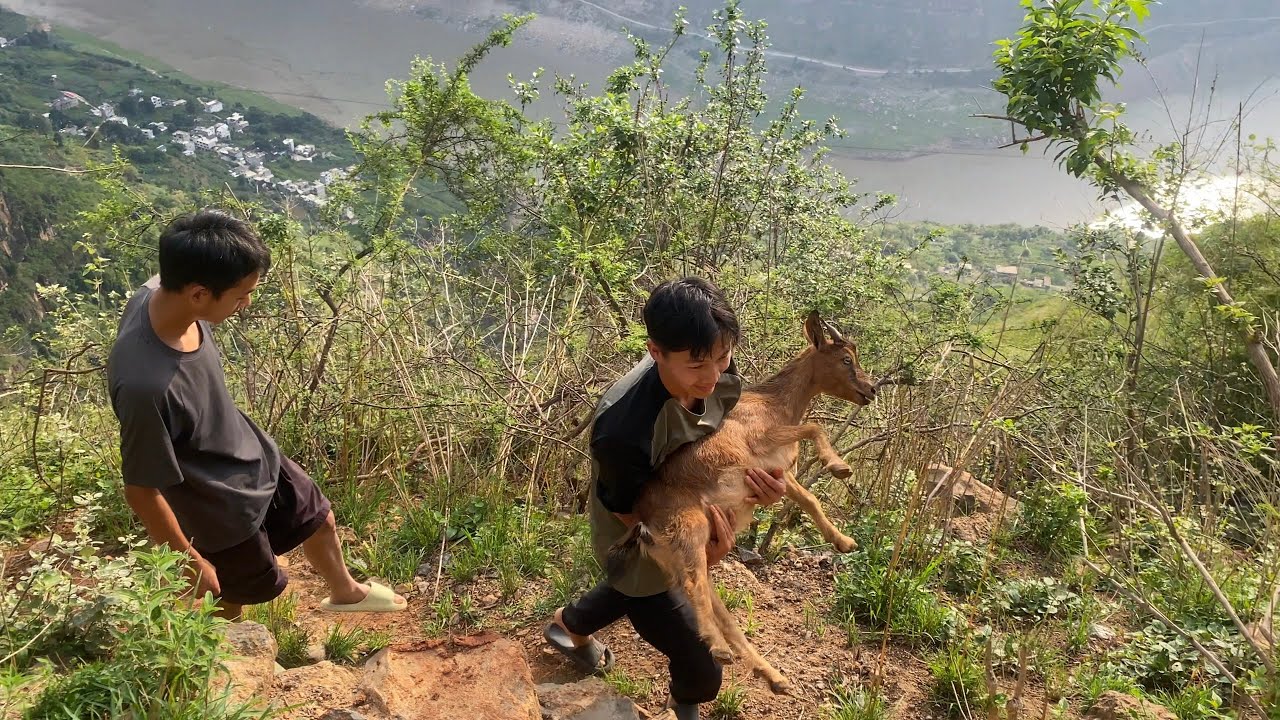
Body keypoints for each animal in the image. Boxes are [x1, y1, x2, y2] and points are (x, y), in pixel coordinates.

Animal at [607, 311, 877, 694]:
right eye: (845, 359)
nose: (871, 390)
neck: (775, 405)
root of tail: (645, 525)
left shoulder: (775, 470)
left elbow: (809, 499)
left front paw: (843, 541)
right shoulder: (761, 442)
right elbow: (815, 427)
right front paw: (840, 467)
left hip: (685, 553)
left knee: (713, 604)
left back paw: (772, 675)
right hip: (690, 527)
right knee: (693, 587)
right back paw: (720, 649)